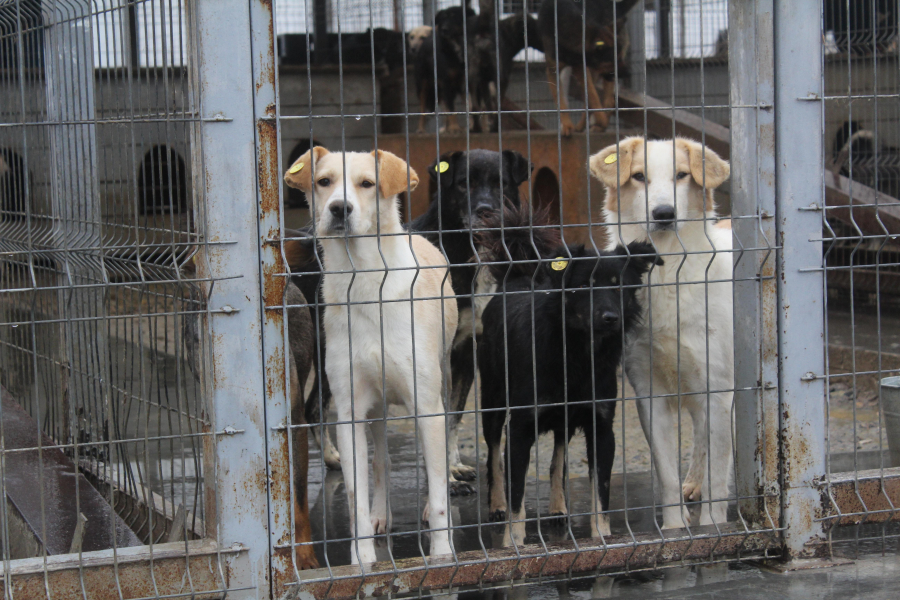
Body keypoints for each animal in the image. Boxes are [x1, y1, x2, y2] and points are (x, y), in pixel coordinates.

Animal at [284, 148, 458, 564]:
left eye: (367, 184)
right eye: (324, 182)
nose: (339, 208)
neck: (365, 281)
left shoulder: (427, 405)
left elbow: (438, 491)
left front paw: (442, 553)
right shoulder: (349, 411)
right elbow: (355, 498)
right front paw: (362, 557)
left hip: (443, 381)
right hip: (375, 408)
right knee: (381, 460)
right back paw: (383, 514)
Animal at [414, 5, 474, 133]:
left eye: (454, 17)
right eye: (442, 19)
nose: (443, 30)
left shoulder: (463, 83)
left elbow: (469, 106)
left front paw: (470, 126)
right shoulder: (446, 82)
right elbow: (451, 108)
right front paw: (455, 127)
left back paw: (446, 128)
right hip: (423, 85)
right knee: (422, 108)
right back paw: (421, 129)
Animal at [592, 137, 732, 528]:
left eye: (682, 175)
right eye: (639, 177)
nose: (664, 212)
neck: (670, 272)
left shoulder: (717, 388)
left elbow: (718, 474)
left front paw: (713, 525)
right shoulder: (648, 392)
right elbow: (667, 473)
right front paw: (674, 526)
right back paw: (692, 483)